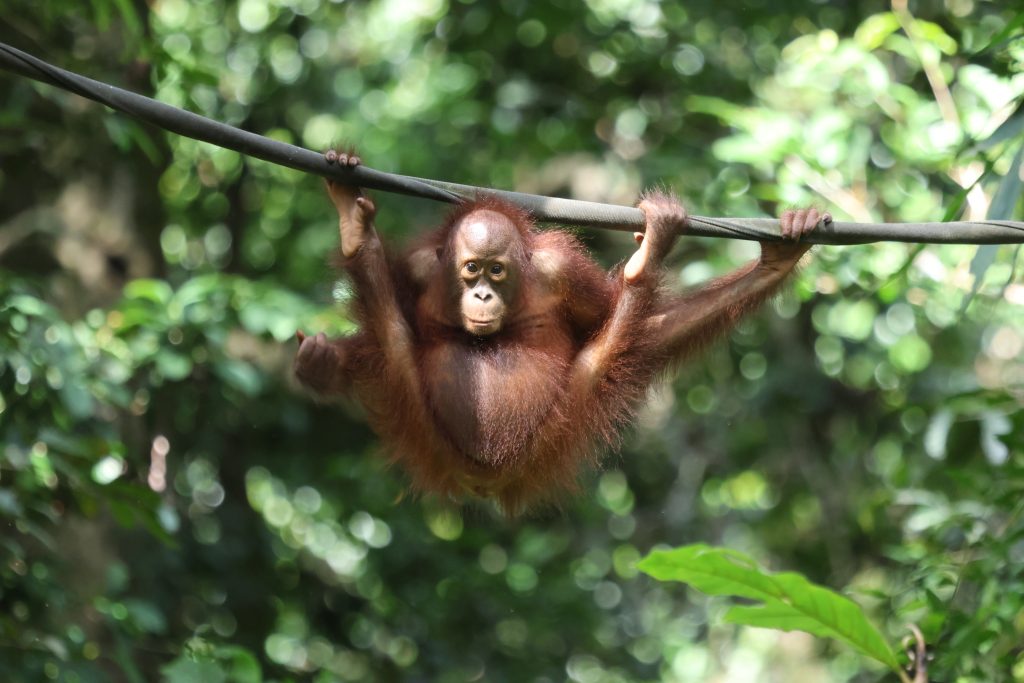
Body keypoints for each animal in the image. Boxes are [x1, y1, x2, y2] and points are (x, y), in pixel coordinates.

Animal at [295, 150, 826, 513]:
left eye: (496, 271)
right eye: (471, 269)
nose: (482, 296)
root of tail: (486, 483)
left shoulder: (564, 271)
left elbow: (607, 319)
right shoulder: (421, 267)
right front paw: (321, 363)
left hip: (554, 431)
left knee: (614, 349)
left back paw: (662, 264)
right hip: (422, 422)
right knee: (393, 336)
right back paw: (354, 235)